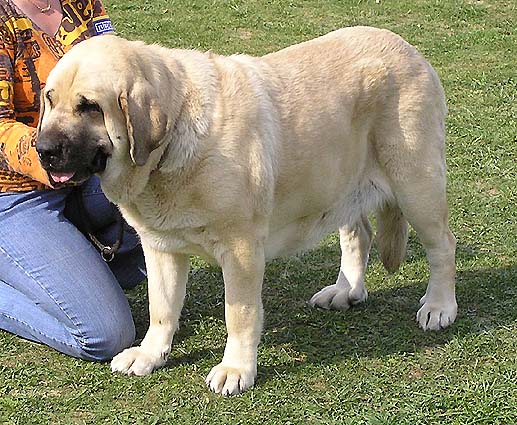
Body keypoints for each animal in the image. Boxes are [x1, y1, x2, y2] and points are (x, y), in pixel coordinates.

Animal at [36, 27, 456, 394]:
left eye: (89, 107)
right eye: (50, 100)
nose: (42, 150)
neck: (172, 143)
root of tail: (406, 48)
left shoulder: (240, 250)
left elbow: (238, 314)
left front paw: (236, 369)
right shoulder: (161, 249)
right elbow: (162, 308)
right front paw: (150, 354)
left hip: (416, 184)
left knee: (443, 246)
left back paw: (439, 306)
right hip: (339, 184)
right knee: (359, 236)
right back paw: (345, 290)